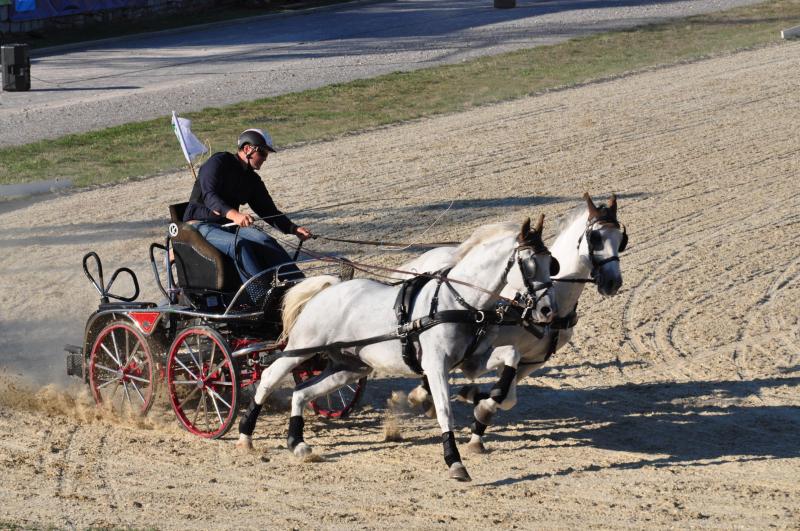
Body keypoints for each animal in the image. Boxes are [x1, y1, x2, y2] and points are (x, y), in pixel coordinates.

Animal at [239, 215, 556, 482]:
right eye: (528, 264)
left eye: (551, 262)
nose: (546, 310)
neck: (459, 301)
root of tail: (328, 287)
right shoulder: (435, 366)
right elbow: (444, 410)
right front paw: (454, 461)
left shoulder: (472, 361)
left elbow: (511, 355)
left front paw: (490, 399)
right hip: (302, 348)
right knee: (269, 377)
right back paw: (245, 435)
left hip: (349, 368)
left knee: (302, 392)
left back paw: (298, 443)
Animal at [400, 194, 624, 454]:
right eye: (595, 237)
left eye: (621, 239)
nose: (613, 282)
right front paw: (474, 407)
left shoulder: (532, 361)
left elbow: (507, 397)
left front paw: (476, 411)